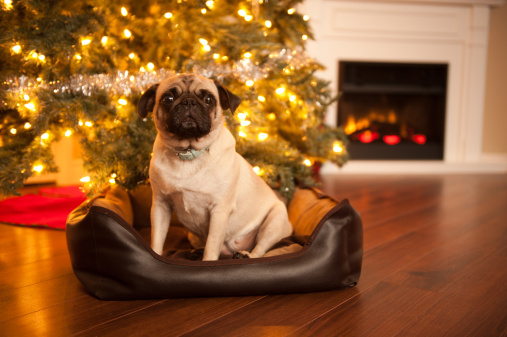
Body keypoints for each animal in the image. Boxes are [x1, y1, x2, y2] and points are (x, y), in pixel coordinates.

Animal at [138, 75, 294, 262]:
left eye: (208, 99)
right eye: (167, 99)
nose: (189, 102)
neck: (188, 153)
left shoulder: (219, 211)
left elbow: (212, 247)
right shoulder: (161, 205)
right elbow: (157, 239)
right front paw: (154, 255)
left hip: (275, 220)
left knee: (261, 248)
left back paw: (245, 255)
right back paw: (197, 251)